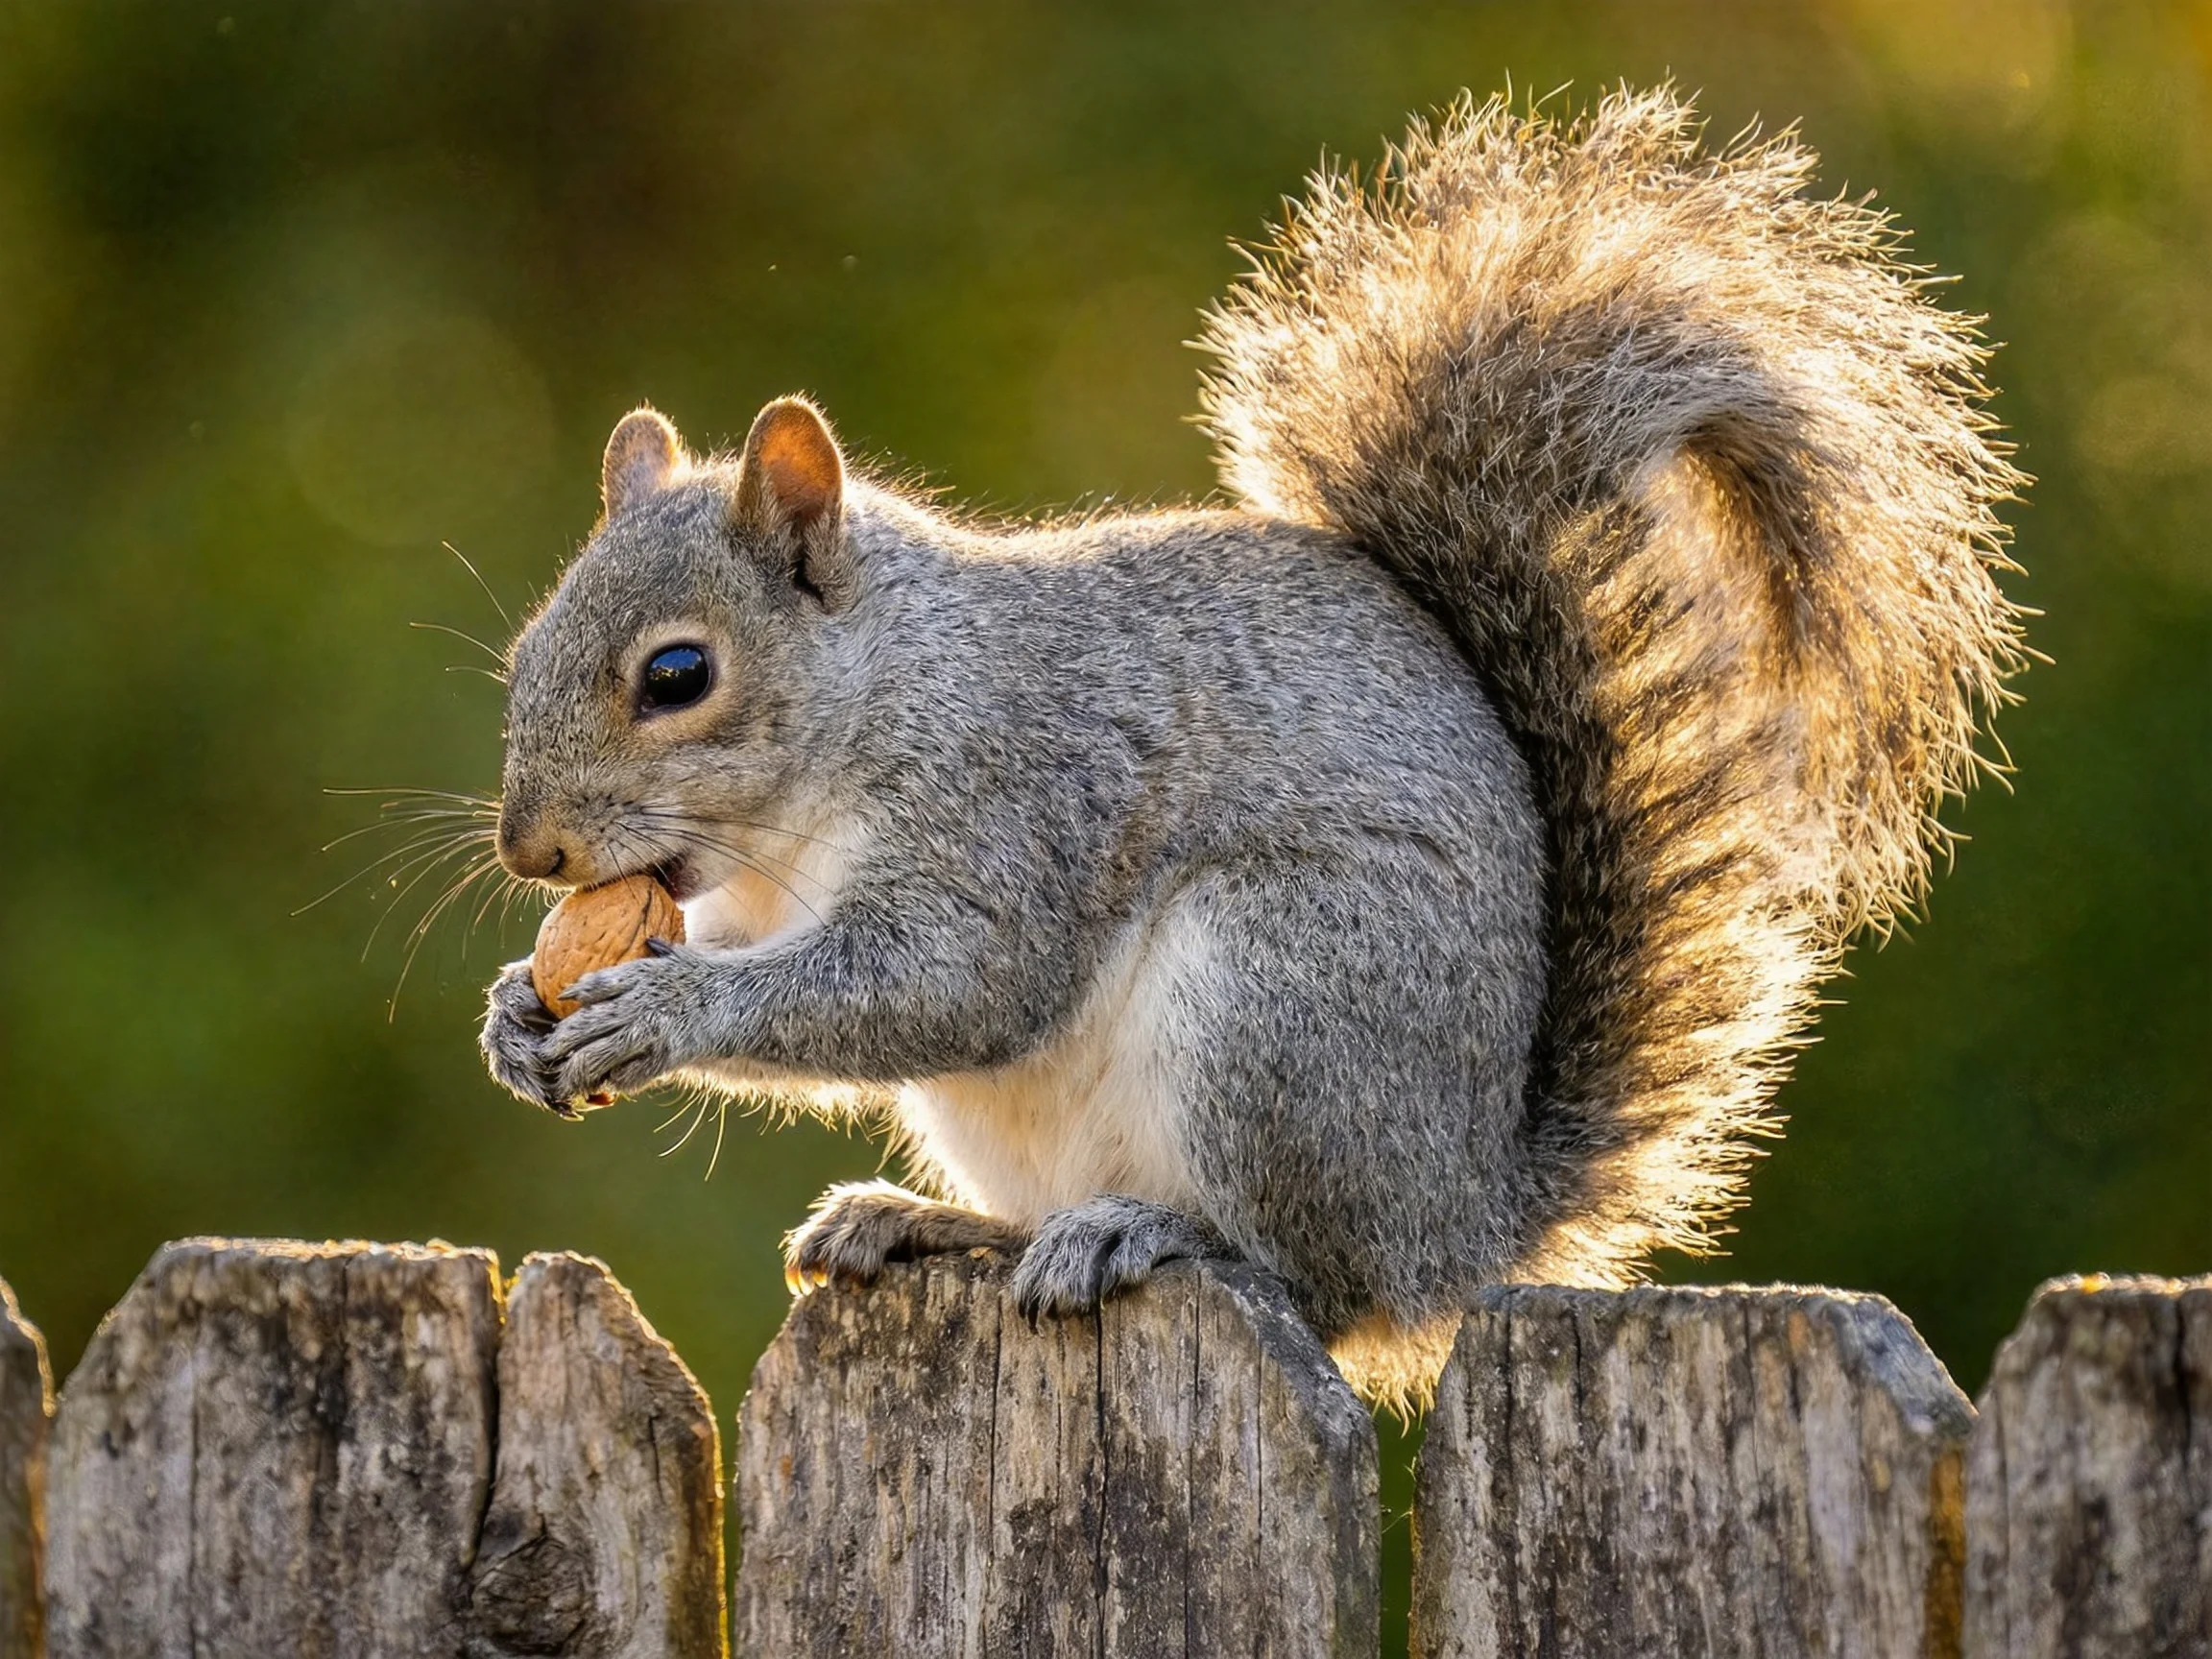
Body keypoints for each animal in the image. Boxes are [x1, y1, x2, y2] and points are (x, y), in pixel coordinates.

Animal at [478, 87, 2024, 1407]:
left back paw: (1156, 1240)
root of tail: (1459, 1223)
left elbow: (948, 979)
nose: (529, 850)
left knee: (1313, 1287)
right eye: (523, 650)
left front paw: (663, 1011)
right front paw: (518, 1010)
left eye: (678, 676)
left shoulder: (1020, 792)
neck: (872, 709)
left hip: (1281, 999)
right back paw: (934, 1227)